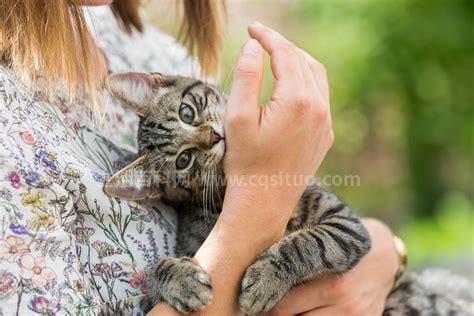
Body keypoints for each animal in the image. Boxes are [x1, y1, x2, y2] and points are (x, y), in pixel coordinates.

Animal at [104, 72, 474, 316]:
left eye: (186, 112)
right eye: (184, 160)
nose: (213, 137)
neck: (224, 190)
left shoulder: (346, 224)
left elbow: (310, 242)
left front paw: (268, 277)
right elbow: (149, 288)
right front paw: (179, 279)